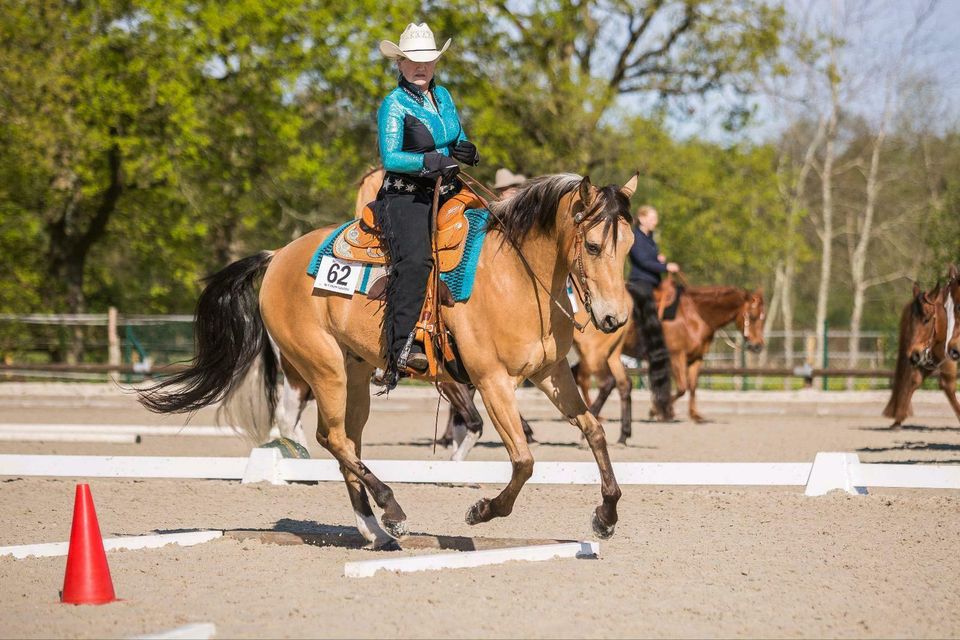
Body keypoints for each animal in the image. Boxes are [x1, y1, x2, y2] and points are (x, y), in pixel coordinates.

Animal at [139, 174, 640, 544]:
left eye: (631, 245)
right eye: (593, 246)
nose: (615, 318)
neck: (516, 276)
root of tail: (279, 255)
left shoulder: (551, 374)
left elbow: (594, 431)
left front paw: (606, 516)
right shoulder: (492, 381)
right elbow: (523, 460)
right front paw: (482, 510)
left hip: (355, 376)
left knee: (346, 442)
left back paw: (374, 529)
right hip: (324, 369)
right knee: (331, 437)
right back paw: (392, 509)